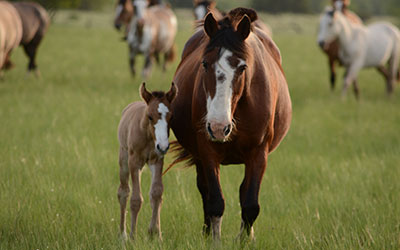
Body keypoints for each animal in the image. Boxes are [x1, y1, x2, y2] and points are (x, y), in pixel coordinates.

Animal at [117, 82, 177, 240]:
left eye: (171, 117)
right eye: (150, 116)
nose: (163, 146)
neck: (148, 136)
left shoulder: (157, 160)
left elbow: (156, 193)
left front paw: (155, 234)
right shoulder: (134, 162)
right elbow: (135, 199)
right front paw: (133, 237)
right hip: (124, 159)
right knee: (123, 192)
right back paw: (123, 234)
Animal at [168, 7, 290, 240]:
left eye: (242, 67)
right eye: (204, 64)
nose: (218, 127)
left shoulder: (259, 153)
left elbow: (250, 204)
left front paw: (244, 240)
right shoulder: (207, 151)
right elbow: (215, 201)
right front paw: (213, 239)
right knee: (205, 191)